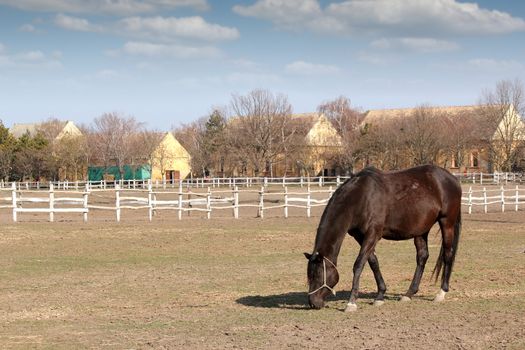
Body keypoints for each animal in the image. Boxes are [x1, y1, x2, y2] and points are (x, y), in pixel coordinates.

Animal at [304, 165, 460, 312]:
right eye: (309, 275)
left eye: (318, 275)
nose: (313, 302)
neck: (361, 197)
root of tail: (452, 179)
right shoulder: (361, 236)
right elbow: (373, 262)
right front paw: (380, 296)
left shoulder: (373, 234)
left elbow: (359, 264)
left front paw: (351, 302)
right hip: (421, 230)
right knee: (422, 256)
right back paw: (408, 294)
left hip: (447, 223)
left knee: (447, 254)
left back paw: (441, 293)